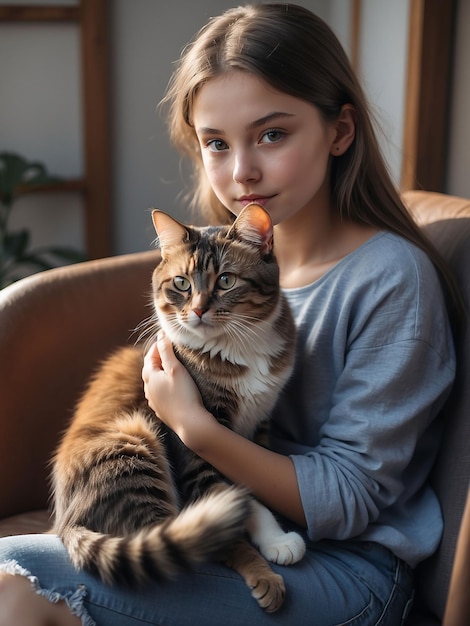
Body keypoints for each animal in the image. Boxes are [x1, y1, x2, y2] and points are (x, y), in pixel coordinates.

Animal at [50, 204, 304, 608]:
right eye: (182, 283)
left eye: (226, 280)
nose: (198, 310)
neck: (238, 348)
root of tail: (64, 522)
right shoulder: (196, 445)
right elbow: (230, 511)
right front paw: (265, 567)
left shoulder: (258, 427)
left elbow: (254, 487)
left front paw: (275, 538)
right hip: (133, 441)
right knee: (175, 535)